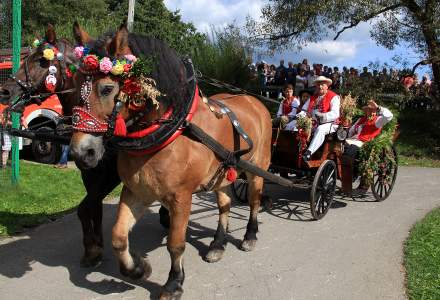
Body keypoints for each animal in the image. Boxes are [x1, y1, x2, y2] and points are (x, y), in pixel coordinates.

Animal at [69, 24, 272, 298]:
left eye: (107, 89)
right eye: (74, 85)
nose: (81, 152)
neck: (170, 131)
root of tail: (254, 101)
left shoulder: (181, 198)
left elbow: (176, 244)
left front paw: (174, 283)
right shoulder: (136, 191)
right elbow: (118, 237)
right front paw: (137, 269)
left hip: (257, 168)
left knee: (253, 201)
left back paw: (250, 235)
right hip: (222, 173)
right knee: (225, 204)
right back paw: (217, 245)